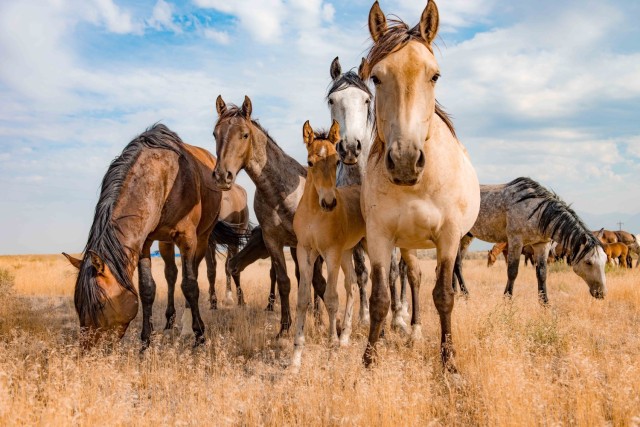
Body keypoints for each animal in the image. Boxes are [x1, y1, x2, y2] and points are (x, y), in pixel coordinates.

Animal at [63, 123, 241, 348]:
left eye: (100, 306)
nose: (88, 351)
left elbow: (190, 285)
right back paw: (170, 321)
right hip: (165, 242)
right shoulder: (144, 243)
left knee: (194, 274)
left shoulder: (187, 238)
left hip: (202, 238)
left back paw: (187, 325)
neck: (163, 179)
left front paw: (199, 335)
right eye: (78, 305)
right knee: (171, 275)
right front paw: (145, 342)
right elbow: (147, 289)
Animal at [212, 96, 328, 338]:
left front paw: (324, 323)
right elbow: (284, 281)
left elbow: (317, 281)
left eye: (244, 134)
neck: (279, 193)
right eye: (215, 134)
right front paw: (284, 328)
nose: (222, 176)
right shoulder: (273, 240)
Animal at [328, 56, 408, 332]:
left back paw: (404, 311)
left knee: (404, 272)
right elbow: (363, 274)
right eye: (332, 101)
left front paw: (396, 320)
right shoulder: (355, 239)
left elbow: (391, 273)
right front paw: (364, 317)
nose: (351, 148)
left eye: (366, 100)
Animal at [360, 0, 480, 372]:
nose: (405, 161)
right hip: (408, 243)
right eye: (376, 77)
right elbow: (380, 298)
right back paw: (412, 331)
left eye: (434, 75)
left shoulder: (449, 237)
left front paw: (449, 362)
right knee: (413, 276)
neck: (418, 186)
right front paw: (367, 363)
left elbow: (444, 296)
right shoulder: (380, 237)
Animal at [460, 177, 604, 304]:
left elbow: (542, 274)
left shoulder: (541, 245)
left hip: (467, 237)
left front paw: (545, 305)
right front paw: (507, 302)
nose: (601, 293)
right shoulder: (515, 241)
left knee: (457, 264)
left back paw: (459, 293)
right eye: (588, 262)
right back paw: (465, 295)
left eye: (605, 260)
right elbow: (512, 272)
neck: (537, 211)